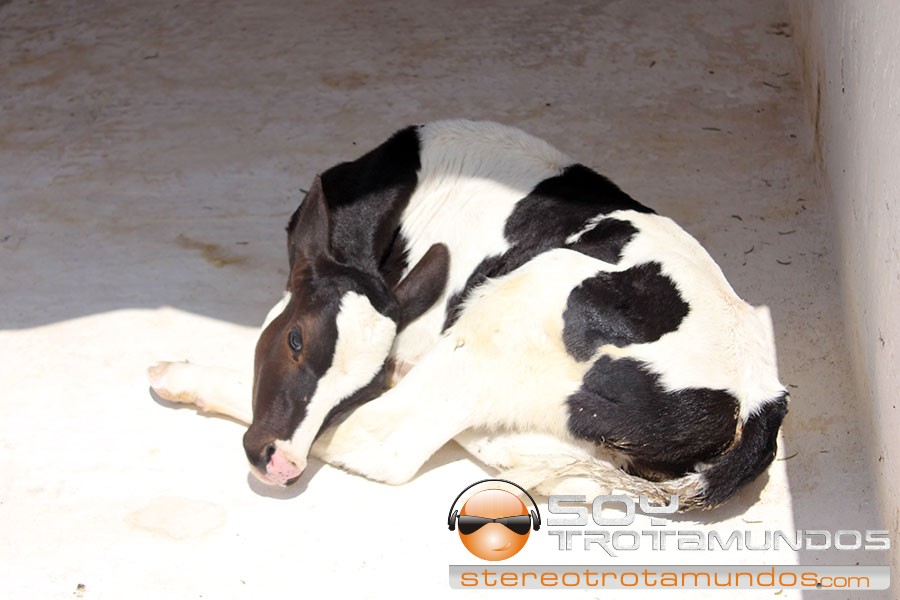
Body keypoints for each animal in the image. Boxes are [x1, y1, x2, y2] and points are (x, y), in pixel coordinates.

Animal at [148, 119, 788, 510]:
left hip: (518, 306)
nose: (281, 464)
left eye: (360, 384)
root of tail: (764, 393)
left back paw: (180, 376)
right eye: (296, 341)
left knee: (389, 440)